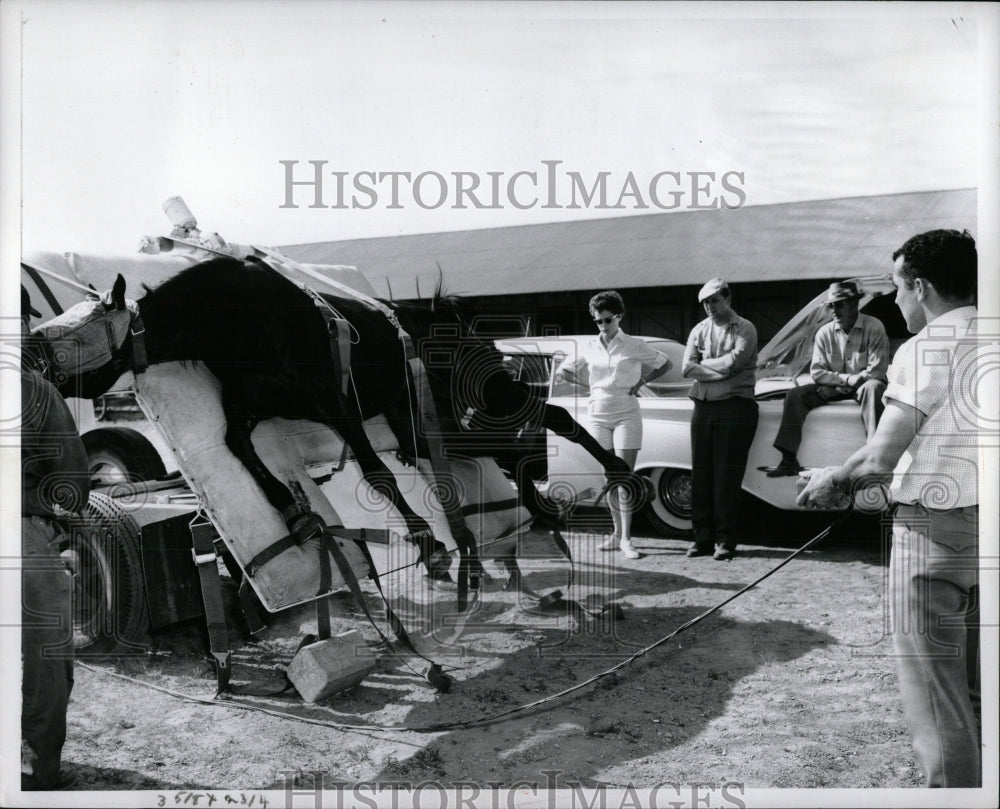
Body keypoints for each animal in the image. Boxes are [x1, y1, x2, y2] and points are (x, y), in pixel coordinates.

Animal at [35, 258, 644, 588]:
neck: (241, 321)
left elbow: (377, 473)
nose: (36, 361)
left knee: (553, 416)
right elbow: (239, 446)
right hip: (433, 420)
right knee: (502, 452)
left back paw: (614, 473)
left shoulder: (338, 404)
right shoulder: (248, 409)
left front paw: (428, 545)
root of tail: (457, 319)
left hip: (488, 392)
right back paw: (540, 508)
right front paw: (291, 508)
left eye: (72, 332)